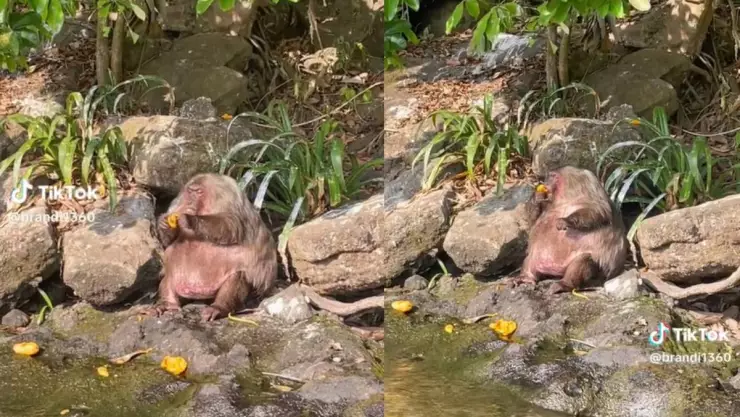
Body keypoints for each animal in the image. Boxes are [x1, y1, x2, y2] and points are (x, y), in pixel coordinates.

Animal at [153, 173, 278, 321]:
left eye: (198, 192)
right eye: (190, 191)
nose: (190, 202)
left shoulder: (226, 197)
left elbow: (230, 225)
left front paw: (190, 219)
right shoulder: (177, 204)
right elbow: (168, 242)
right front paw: (164, 225)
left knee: (237, 277)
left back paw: (219, 308)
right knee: (169, 277)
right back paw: (168, 304)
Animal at [514, 166, 628, 295]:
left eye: (551, 176)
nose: (544, 180)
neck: (563, 199)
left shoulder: (591, 193)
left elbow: (597, 212)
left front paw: (566, 221)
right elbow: (533, 221)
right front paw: (536, 197)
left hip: (598, 269)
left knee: (583, 261)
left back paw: (564, 284)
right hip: (536, 258)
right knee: (530, 259)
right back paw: (526, 277)